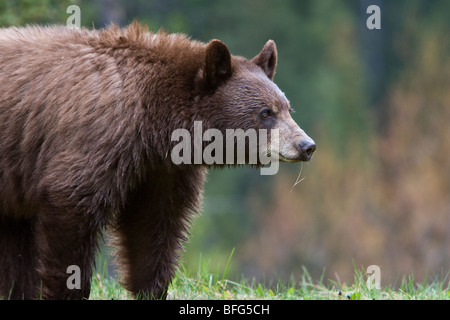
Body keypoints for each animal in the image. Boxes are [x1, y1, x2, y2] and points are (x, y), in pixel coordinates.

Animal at [0, 22, 316, 300]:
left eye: (288, 108)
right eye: (265, 112)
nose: (306, 145)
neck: (152, 124)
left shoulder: (161, 170)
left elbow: (153, 225)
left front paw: (151, 289)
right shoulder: (96, 142)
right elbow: (72, 207)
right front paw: (67, 289)